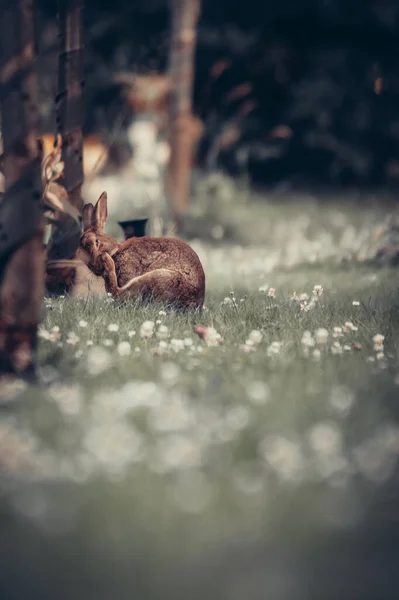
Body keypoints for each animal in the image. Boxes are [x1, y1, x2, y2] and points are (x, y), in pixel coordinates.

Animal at [80, 192, 208, 308]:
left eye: (96, 242)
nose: (95, 266)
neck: (116, 250)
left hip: (159, 278)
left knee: (118, 294)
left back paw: (107, 262)